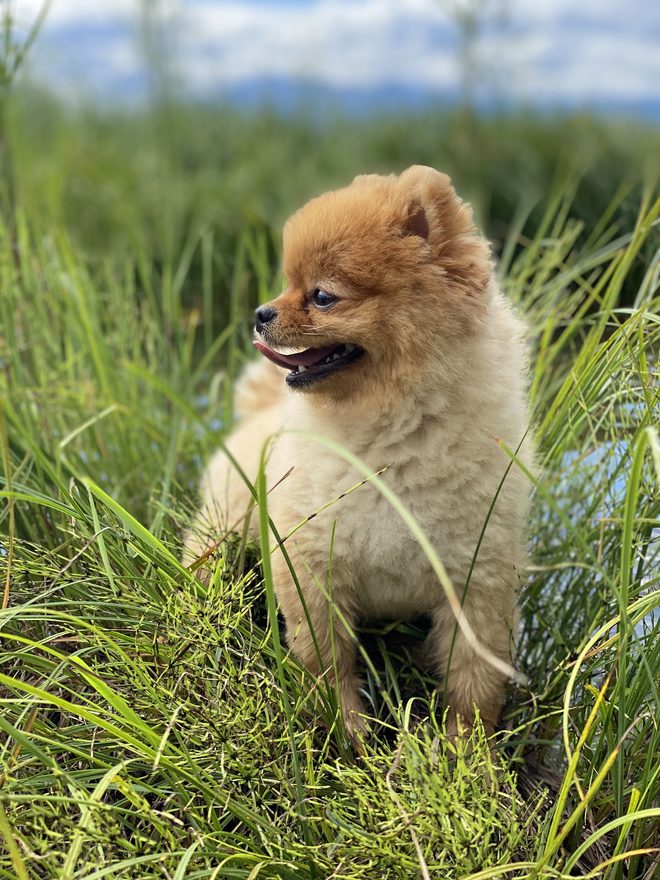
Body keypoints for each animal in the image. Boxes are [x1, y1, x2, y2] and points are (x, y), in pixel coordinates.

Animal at [183, 167, 532, 744]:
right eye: (288, 283)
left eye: (323, 296)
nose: (260, 313)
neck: (393, 437)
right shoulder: (312, 565)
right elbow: (328, 661)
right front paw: (346, 731)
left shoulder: (477, 578)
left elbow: (473, 679)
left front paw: (467, 752)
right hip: (227, 521)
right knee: (203, 551)